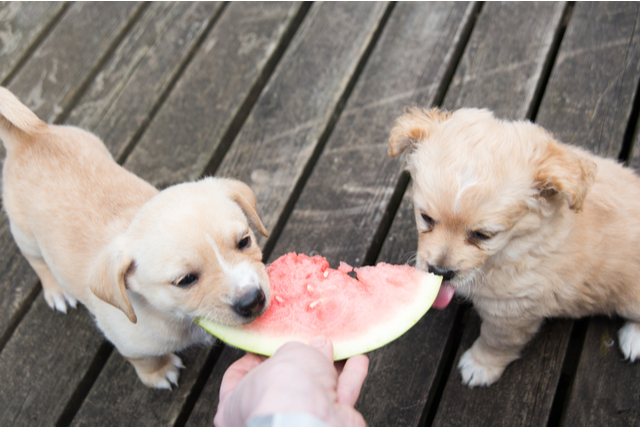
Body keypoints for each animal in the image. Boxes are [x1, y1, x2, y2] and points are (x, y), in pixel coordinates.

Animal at [0, 88, 272, 392]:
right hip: (24, 234)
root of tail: (28, 136)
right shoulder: (130, 345)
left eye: (244, 241)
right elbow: (145, 361)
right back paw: (57, 292)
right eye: (185, 280)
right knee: (38, 263)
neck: (175, 317)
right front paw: (160, 372)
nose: (253, 300)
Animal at [388, 107, 640, 388]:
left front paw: (480, 365)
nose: (440, 272)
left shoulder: (512, 313)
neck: (516, 246)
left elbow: (495, 342)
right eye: (426, 218)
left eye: (483, 235)